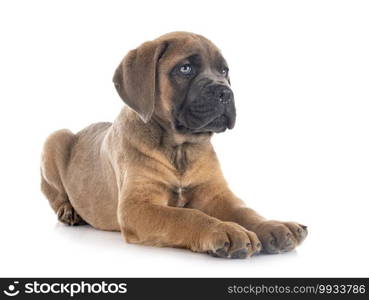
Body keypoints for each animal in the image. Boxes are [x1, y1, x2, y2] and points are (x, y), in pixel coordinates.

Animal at [40, 32, 306, 258]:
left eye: (224, 70)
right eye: (185, 69)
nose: (225, 93)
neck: (181, 150)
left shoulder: (216, 194)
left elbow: (245, 211)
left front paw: (273, 226)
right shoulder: (138, 207)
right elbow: (187, 216)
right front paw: (225, 230)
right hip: (55, 138)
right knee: (53, 194)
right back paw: (69, 211)